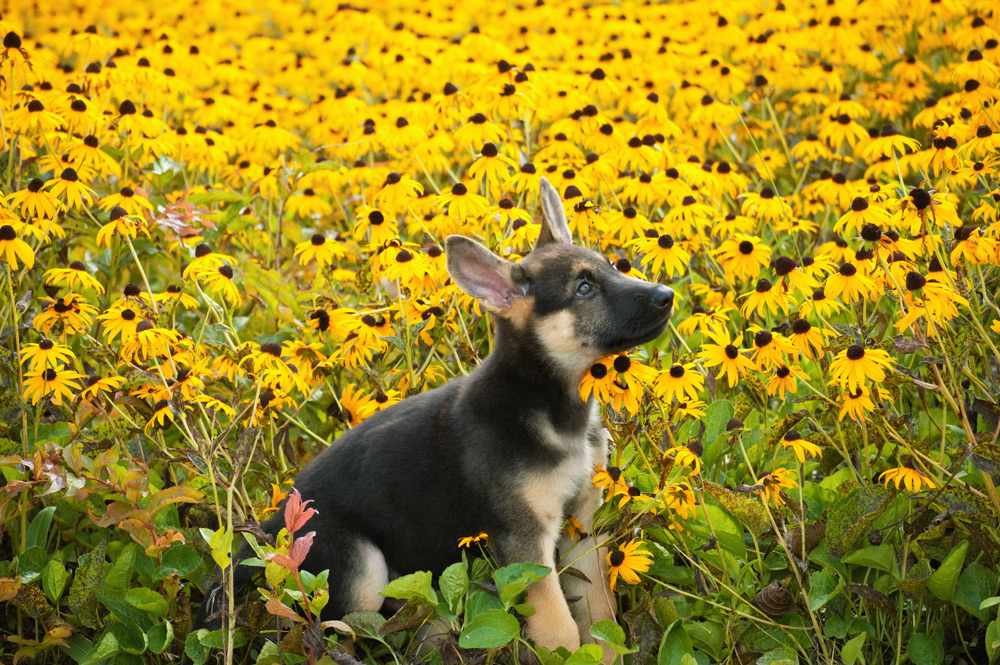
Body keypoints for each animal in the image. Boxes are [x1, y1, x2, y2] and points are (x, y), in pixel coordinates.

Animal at [191, 176, 676, 652]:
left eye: (612, 267)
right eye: (583, 288)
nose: (667, 295)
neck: (550, 404)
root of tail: (272, 528)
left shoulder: (585, 527)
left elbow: (600, 617)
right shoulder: (527, 545)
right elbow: (561, 633)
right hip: (361, 568)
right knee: (332, 632)